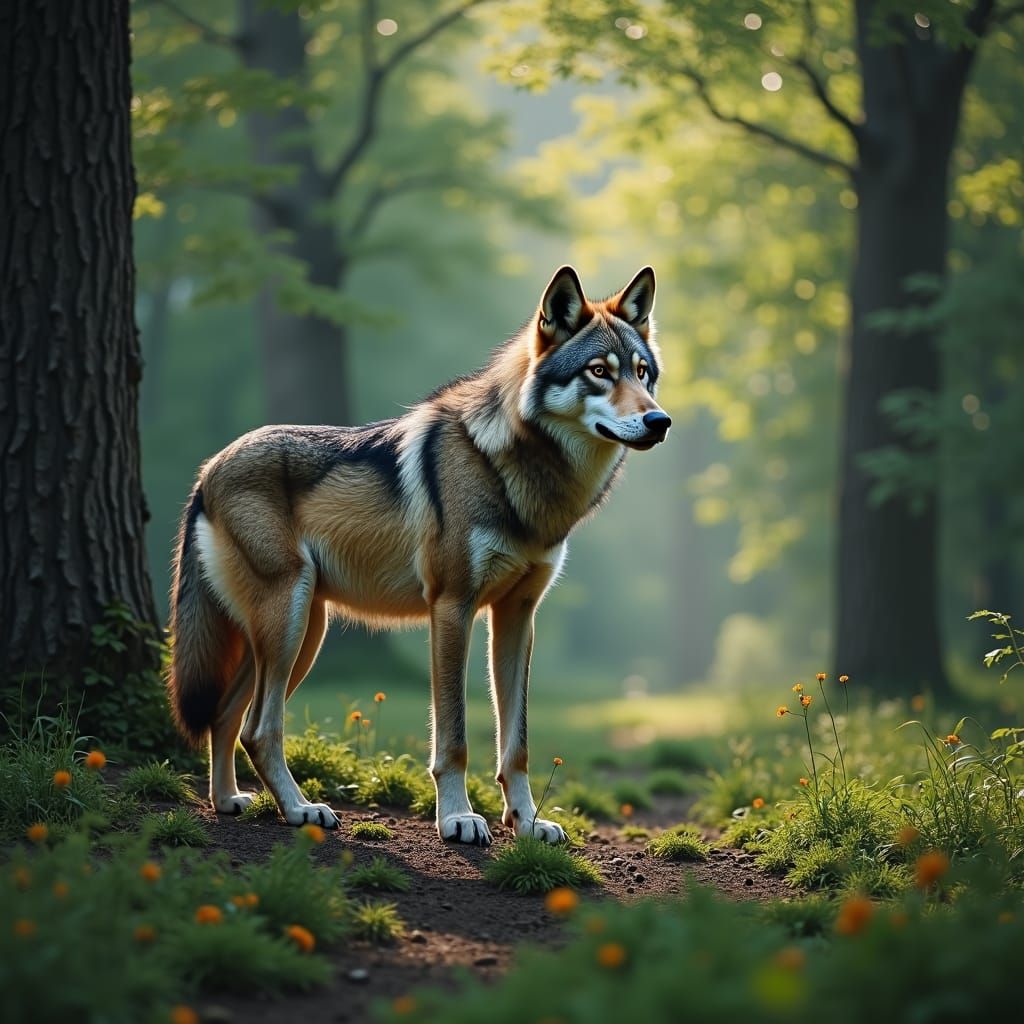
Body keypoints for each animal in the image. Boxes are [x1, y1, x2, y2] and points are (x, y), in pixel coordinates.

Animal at [167, 265, 670, 845]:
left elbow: (516, 745)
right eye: (598, 372)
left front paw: (526, 823)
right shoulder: (451, 608)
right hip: (291, 626)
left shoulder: (518, 616)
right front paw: (457, 819)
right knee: (259, 728)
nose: (660, 421)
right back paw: (300, 810)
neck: (518, 473)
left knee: (226, 716)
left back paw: (228, 800)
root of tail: (208, 469)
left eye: (642, 373)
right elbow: (454, 738)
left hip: (298, 634)